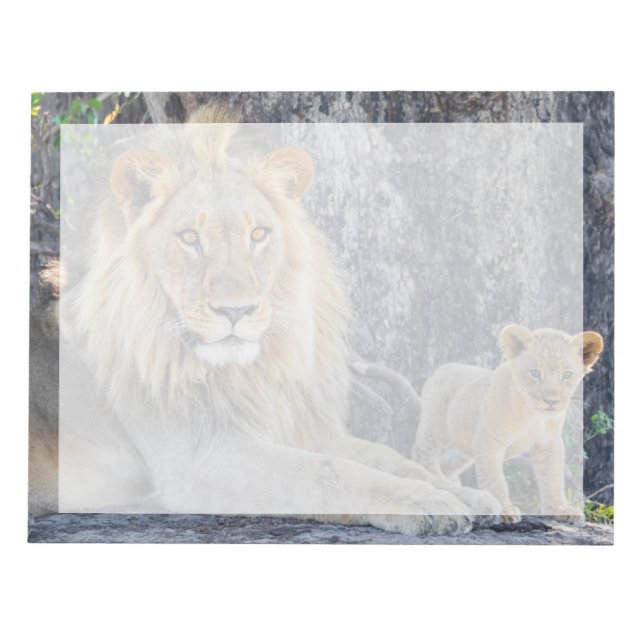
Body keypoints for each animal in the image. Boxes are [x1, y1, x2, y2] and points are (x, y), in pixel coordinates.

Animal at [30, 106, 494, 536]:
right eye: (189, 238)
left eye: (258, 235)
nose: (236, 310)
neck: (250, 372)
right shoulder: (200, 461)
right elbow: (330, 472)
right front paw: (425, 501)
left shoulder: (299, 429)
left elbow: (387, 456)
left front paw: (467, 494)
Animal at [411, 324, 604, 522]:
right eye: (535, 373)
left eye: (567, 375)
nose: (551, 401)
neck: (530, 413)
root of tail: (443, 367)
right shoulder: (488, 440)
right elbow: (494, 478)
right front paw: (503, 509)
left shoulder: (548, 443)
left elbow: (553, 478)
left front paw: (560, 509)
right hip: (435, 428)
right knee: (421, 454)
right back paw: (436, 481)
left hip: (464, 444)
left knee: (448, 463)